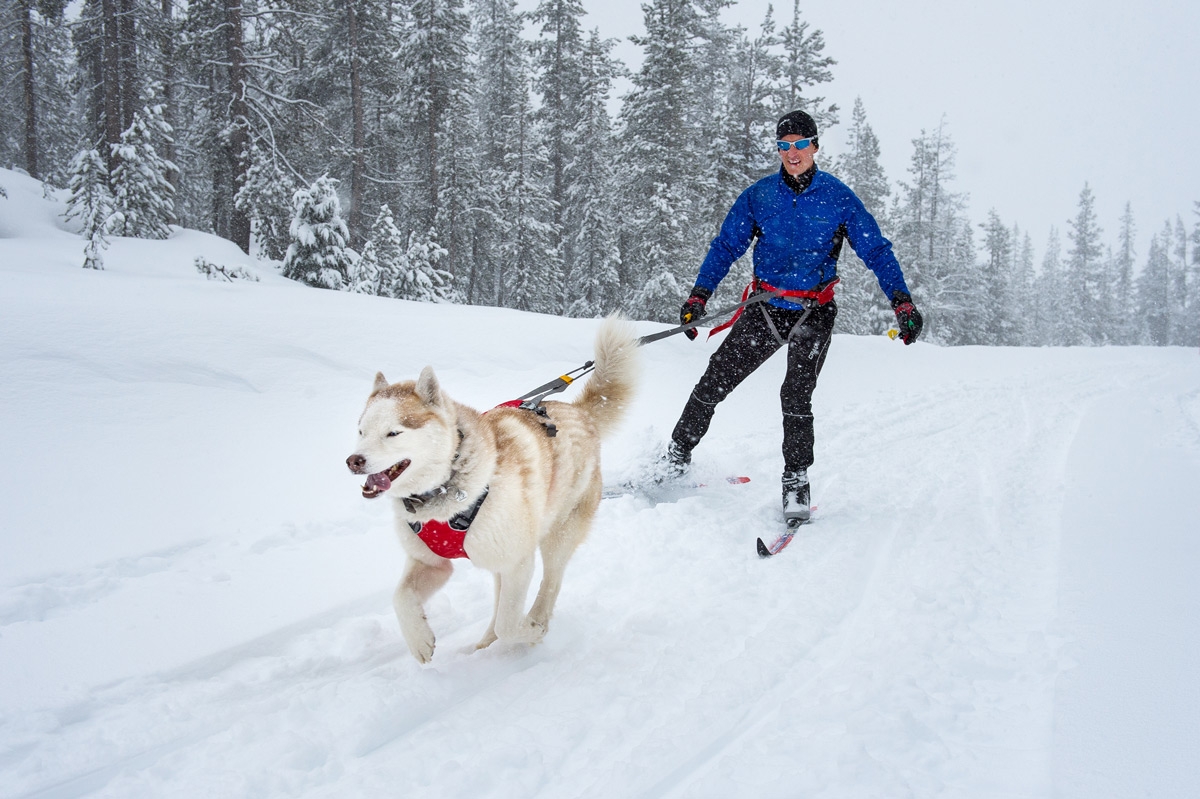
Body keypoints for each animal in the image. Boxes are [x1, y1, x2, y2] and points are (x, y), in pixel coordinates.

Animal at [348, 316, 638, 657]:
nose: (353, 461)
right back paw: (483, 645)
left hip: (558, 535)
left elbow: (508, 624)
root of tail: (580, 412)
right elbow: (401, 597)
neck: (446, 488)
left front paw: (529, 632)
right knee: (501, 602)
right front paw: (419, 640)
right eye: (361, 431)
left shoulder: (518, 562)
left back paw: (536, 622)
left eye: (393, 433)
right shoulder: (430, 563)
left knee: (550, 582)